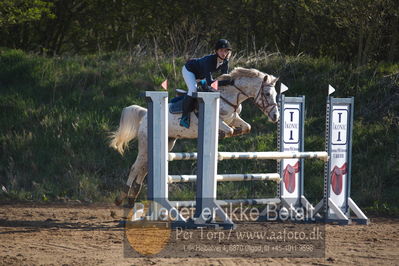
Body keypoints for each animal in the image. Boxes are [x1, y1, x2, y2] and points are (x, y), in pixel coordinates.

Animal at [108, 66, 280, 206]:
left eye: (276, 94)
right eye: (266, 93)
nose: (275, 116)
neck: (228, 96)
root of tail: (145, 114)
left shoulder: (234, 118)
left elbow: (246, 127)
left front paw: (234, 132)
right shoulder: (218, 120)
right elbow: (229, 130)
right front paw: (223, 134)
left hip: (167, 143)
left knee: (144, 168)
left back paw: (131, 199)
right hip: (145, 145)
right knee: (136, 167)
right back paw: (120, 198)